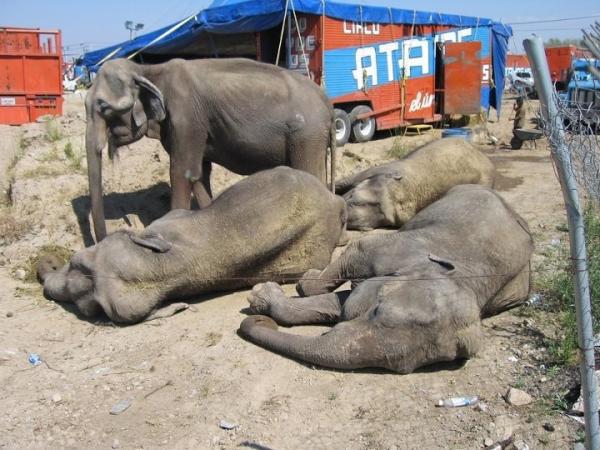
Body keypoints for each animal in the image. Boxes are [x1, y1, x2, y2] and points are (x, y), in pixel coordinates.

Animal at [86, 59, 336, 243]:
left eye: (103, 107)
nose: (102, 240)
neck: (147, 70)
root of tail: (329, 105)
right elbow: (199, 173)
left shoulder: (186, 117)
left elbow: (182, 172)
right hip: (313, 136)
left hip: (306, 134)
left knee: (309, 171)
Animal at [241, 185, 532, 374]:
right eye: (377, 309)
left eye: (402, 368)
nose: (260, 322)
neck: (466, 279)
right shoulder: (393, 250)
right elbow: (357, 253)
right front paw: (296, 284)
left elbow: (341, 305)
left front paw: (262, 297)